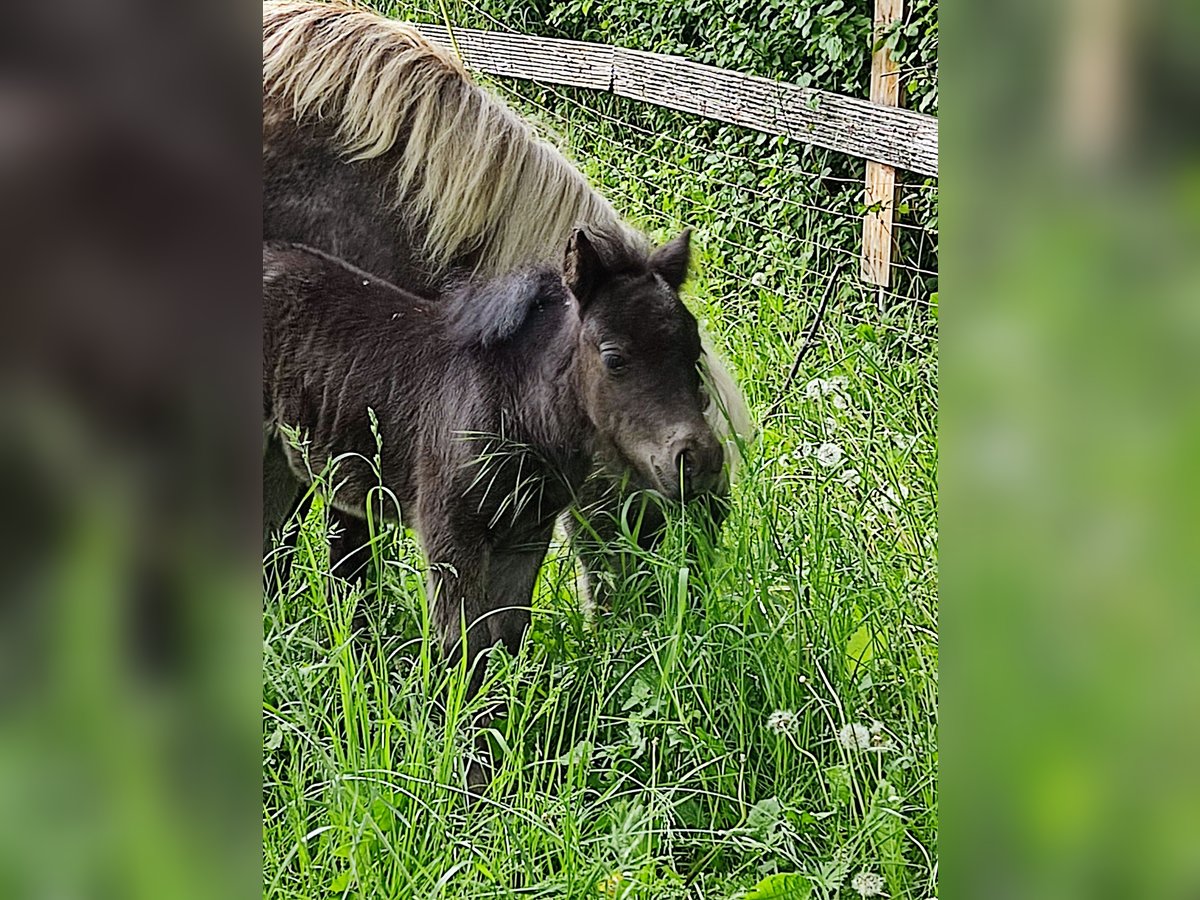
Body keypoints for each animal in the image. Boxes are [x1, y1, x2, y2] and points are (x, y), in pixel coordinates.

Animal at [263, 233, 721, 782]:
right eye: (615, 359)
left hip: (279, 464)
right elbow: (463, 648)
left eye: (694, 352)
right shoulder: (451, 536)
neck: (517, 411)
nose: (699, 460)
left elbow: (506, 640)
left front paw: (499, 758)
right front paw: (462, 772)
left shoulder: (525, 539)